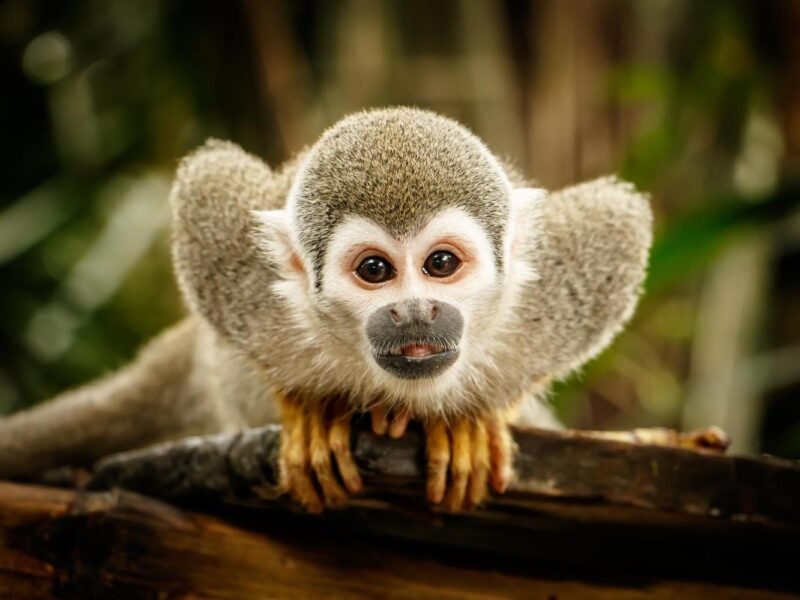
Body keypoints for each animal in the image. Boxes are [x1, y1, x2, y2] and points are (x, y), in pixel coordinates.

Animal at [0, 107, 652, 513]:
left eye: (440, 264)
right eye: (375, 271)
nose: (415, 313)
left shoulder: (555, 293)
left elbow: (618, 221)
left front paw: (476, 419)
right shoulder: (245, 285)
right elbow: (209, 183)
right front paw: (307, 407)